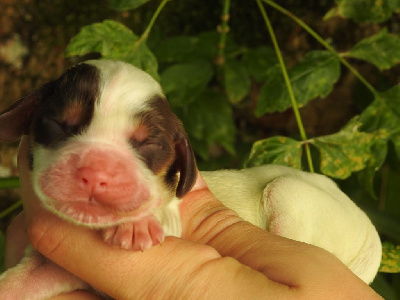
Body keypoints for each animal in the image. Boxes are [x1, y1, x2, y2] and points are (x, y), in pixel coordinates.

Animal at [0, 59, 382, 298]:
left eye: (149, 144)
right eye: (59, 123)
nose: (96, 173)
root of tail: (370, 231)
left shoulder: (176, 220)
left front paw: (137, 223)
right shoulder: (54, 267)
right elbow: (20, 283)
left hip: (290, 194)